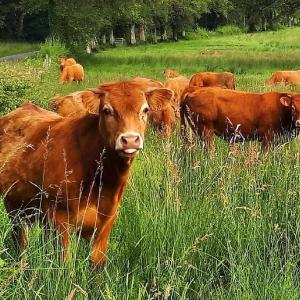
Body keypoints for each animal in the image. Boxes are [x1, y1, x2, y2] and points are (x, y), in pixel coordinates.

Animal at [0, 81, 173, 266]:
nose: (130, 140)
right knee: (22, 244)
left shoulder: (106, 222)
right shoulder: (59, 219)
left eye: (145, 110)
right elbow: (65, 263)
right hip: (14, 207)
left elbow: (96, 264)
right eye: (106, 110)